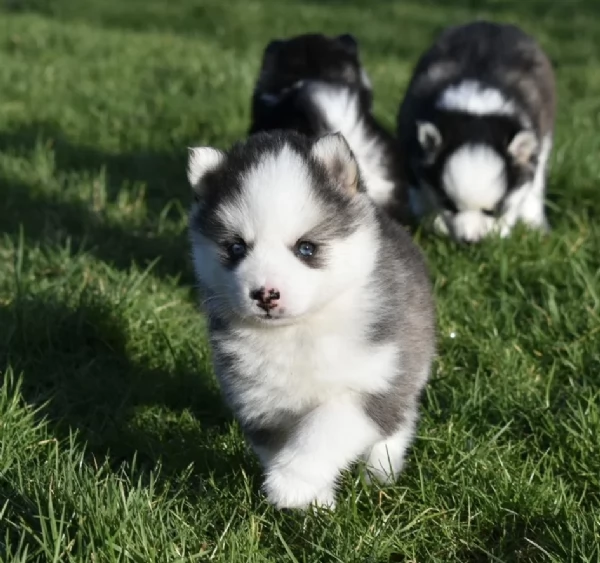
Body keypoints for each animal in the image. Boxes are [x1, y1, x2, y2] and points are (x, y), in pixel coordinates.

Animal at [185, 130, 434, 508]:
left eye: (306, 248)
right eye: (236, 248)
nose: (265, 294)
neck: (299, 332)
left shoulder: (374, 380)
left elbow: (326, 427)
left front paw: (290, 483)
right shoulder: (259, 399)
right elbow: (279, 445)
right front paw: (315, 503)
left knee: (398, 423)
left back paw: (380, 471)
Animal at [396, 20, 556, 242]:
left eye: (492, 210)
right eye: (450, 205)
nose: (470, 241)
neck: (476, 107)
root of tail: (492, 23)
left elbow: (518, 195)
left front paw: (502, 230)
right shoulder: (410, 146)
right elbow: (420, 193)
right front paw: (435, 223)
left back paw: (535, 224)